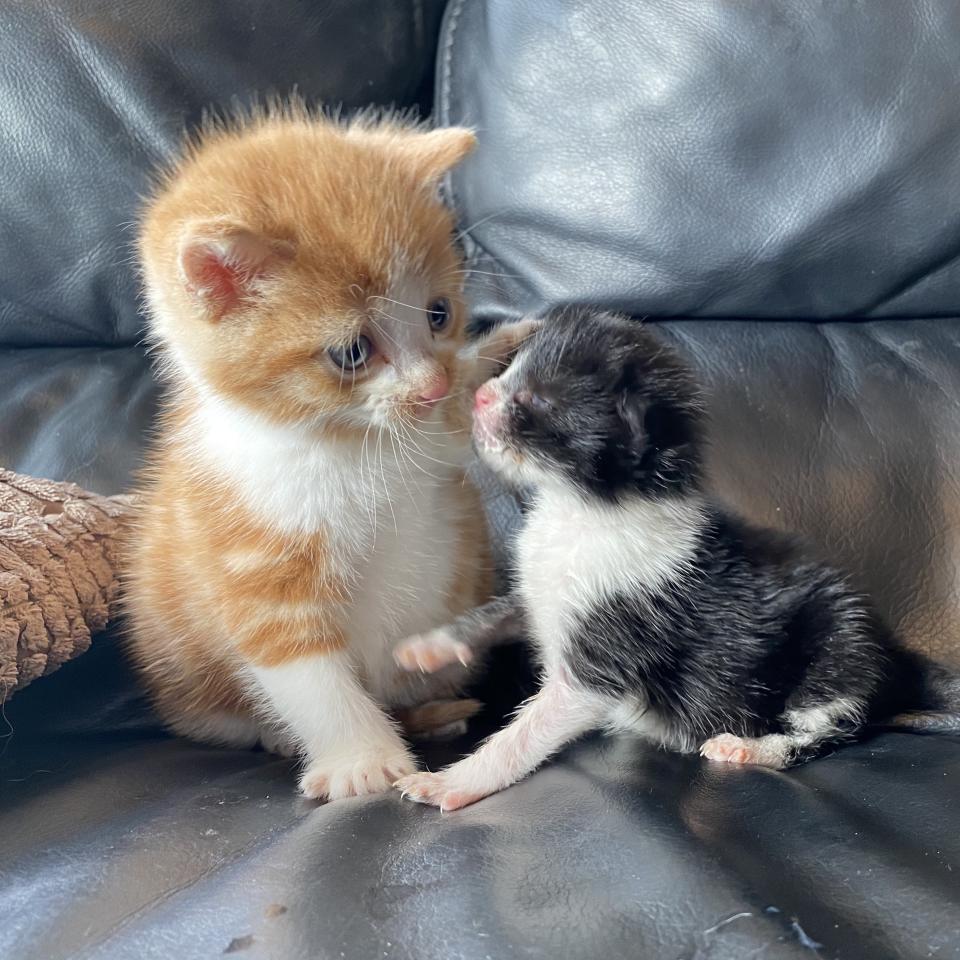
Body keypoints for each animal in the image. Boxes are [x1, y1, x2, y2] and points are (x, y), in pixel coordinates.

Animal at [128, 107, 520, 804]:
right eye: (351, 352)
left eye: (438, 312)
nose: (432, 385)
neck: (348, 443)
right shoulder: (252, 561)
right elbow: (306, 673)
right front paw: (361, 759)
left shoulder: (432, 441)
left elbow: (452, 429)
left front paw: (496, 352)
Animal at [390, 308, 952, 808]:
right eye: (510, 370)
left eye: (539, 401)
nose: (480, 393)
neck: (583, 511)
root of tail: (893, 656)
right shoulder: (540, 594)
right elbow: (497, 613)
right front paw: (429, 646)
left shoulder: (599, 665)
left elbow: (523, 733)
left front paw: (455, 780)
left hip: (834, 656)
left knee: (827, 731)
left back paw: (749, 748)